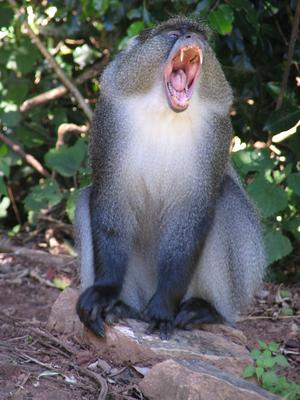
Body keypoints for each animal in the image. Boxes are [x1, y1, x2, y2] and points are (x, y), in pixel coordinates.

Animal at [75, 16, 264, 340]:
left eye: (200, 36)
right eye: (173, 33)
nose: (190, 38)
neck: (164, 112)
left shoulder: (217, 130)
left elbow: (194, 213)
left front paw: (163, 307)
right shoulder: (111, 118)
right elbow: (110, 202)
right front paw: (105, 292)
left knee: (225, 196)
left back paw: (206, 309)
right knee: (87, 197)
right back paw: (123, 307)